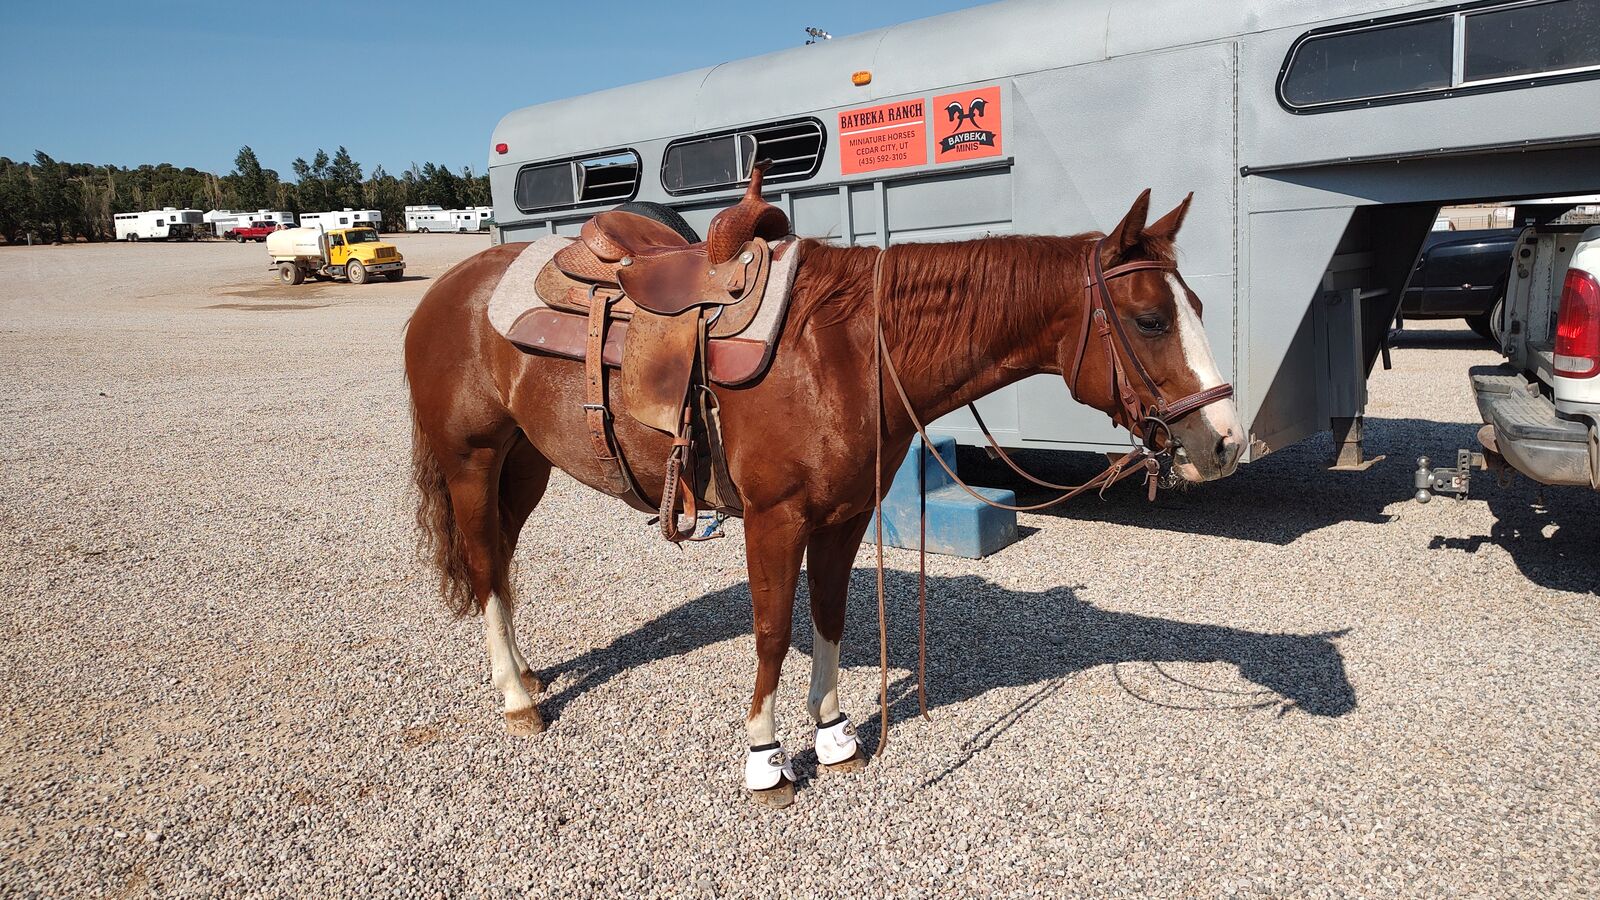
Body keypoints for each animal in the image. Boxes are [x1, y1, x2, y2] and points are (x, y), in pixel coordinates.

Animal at [403, 189, 1244, 807]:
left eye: (1200, 306)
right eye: (1149, 319)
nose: (1226, 442)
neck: (845, 348)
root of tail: (445, 290)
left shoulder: (845, 516)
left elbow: (831, 618)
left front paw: (836, 736)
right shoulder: (774, 520)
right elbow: (774, 632)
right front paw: (765, 759)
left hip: (524, 467)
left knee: (499, 560)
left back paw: (525, 673)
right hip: (472, 461)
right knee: (484, 564)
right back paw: (517, 700)